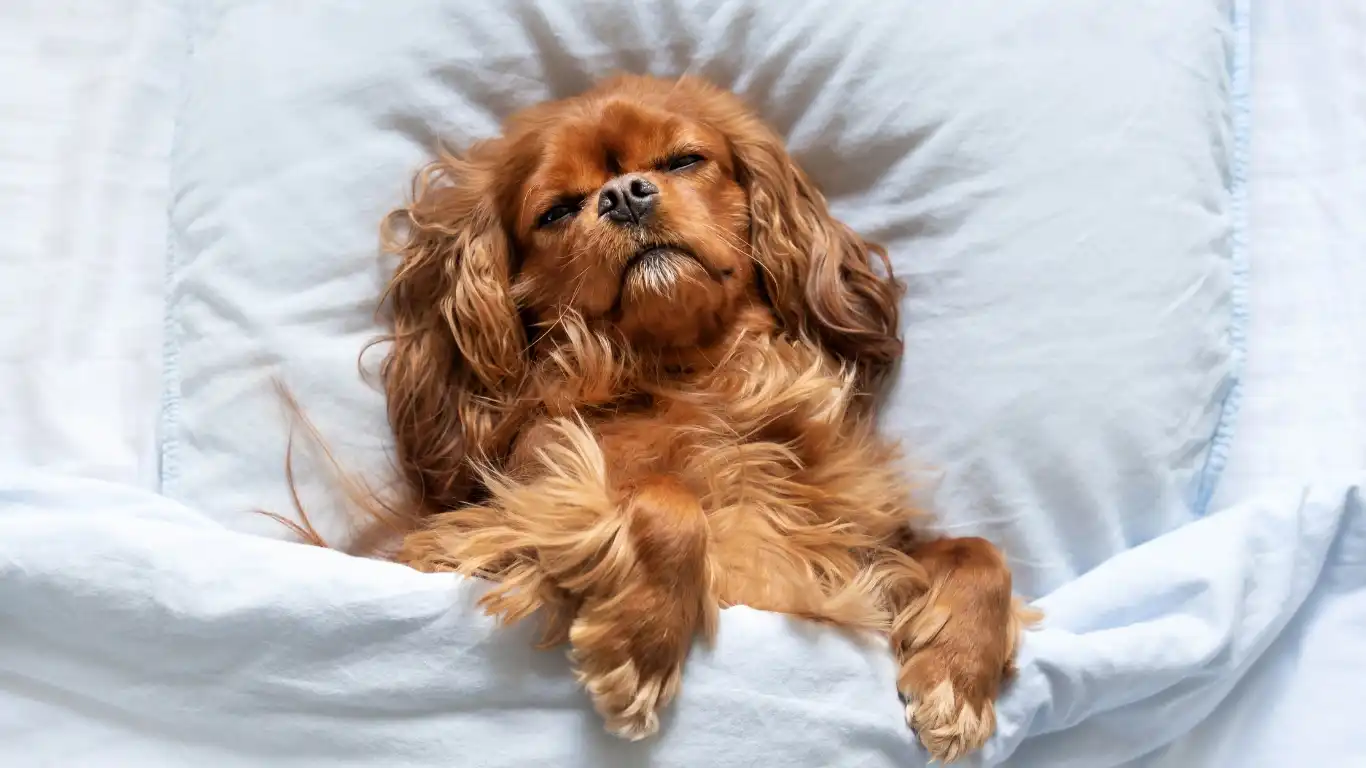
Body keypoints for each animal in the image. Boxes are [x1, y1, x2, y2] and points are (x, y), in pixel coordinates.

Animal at [374, 74, 1032, 754]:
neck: (695, 378)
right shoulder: (483, 529)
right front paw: (640, 645)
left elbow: (981, 552)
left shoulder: (855, 546)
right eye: (556, 211)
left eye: (683, 161)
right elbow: (668, 498)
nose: (623, 195)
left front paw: (957, 680)